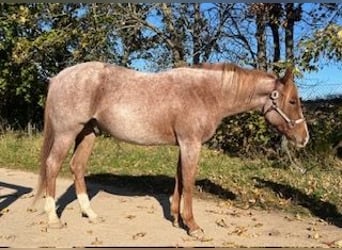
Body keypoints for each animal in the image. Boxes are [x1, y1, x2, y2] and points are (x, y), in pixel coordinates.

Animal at [33, 62, 308, 238]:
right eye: (292, 101)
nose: (304, 139)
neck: (207, 94)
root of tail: (58, 77)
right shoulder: (191, 144)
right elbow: (188, 182)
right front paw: (193, 227)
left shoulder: (184, 145)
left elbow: (179, 179)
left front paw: (176, 219)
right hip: (67, 132)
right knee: (52, 165)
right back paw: (53, 218)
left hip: (88, 133)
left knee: (77, 167)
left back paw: (90, 213)